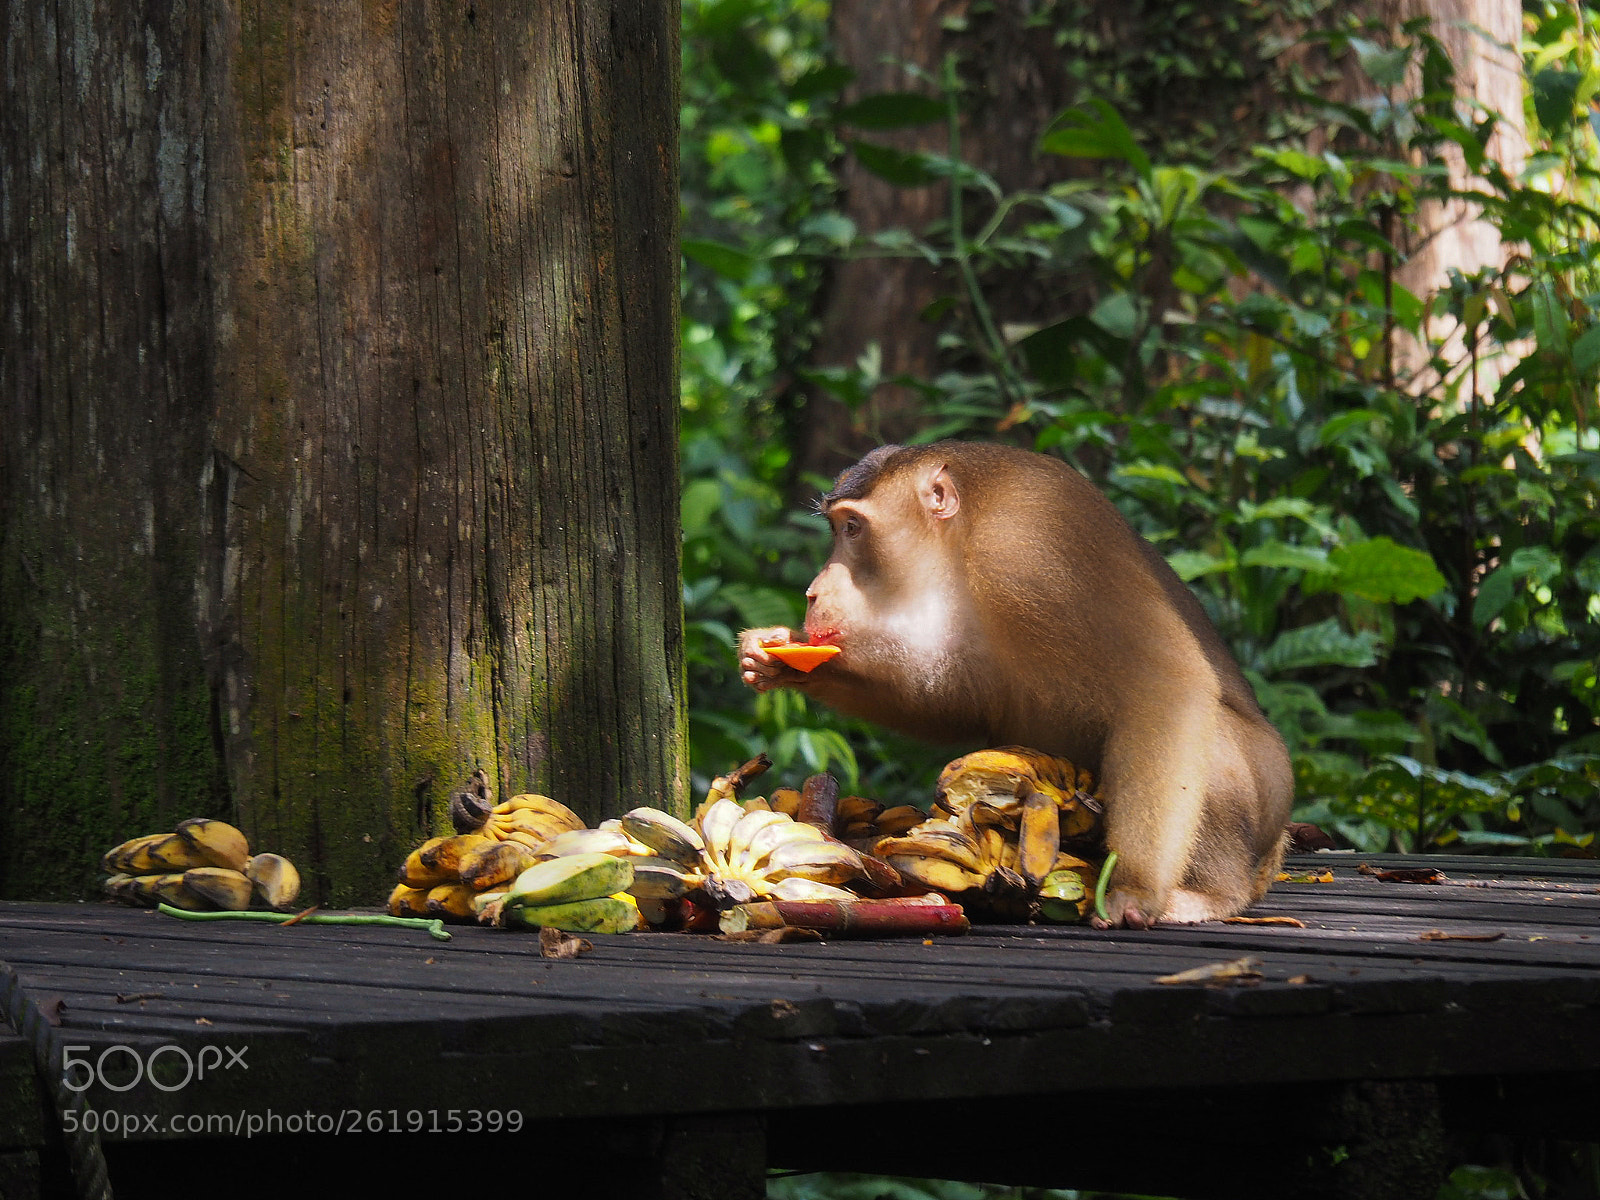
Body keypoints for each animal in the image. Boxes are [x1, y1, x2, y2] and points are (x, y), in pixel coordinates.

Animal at [737, 441, 1294, 928]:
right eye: (836, 527)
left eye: (852, 528)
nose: (813, 593)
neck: (962, 545)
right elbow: (954, 703)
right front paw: (776, 657)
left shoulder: (1029, 548)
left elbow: (1165, 680)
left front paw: (1134, 889)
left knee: (1211, 736)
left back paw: (1211, 894)